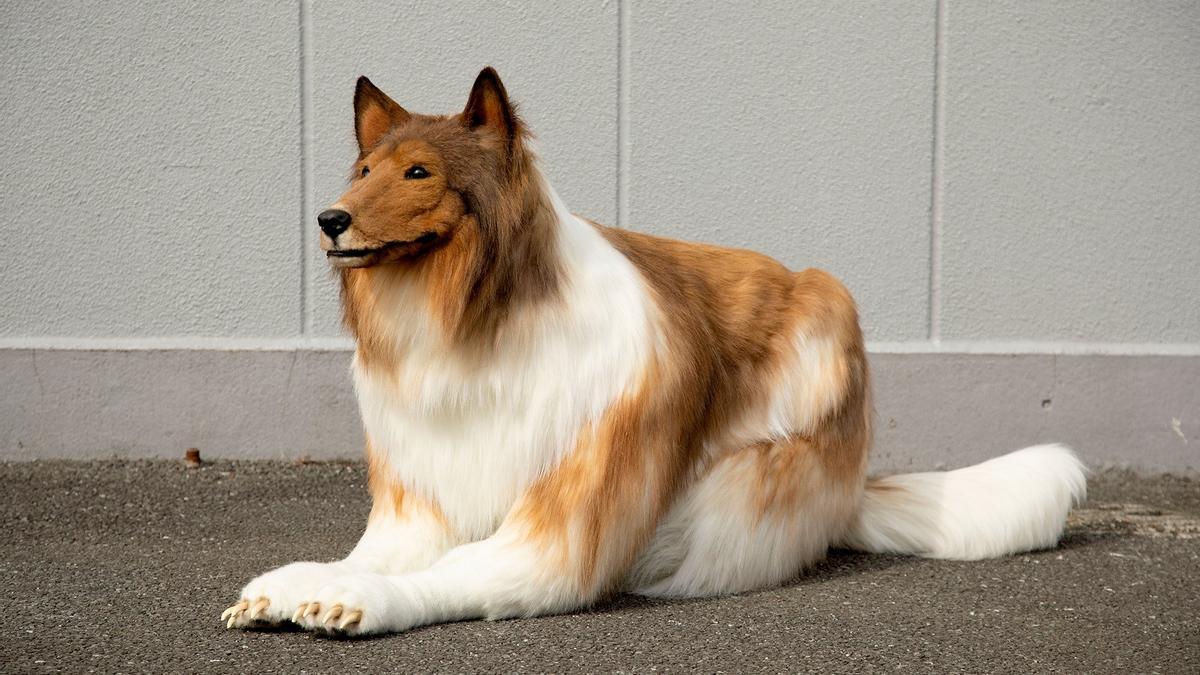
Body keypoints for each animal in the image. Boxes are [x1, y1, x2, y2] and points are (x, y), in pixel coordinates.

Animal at [223, 66, 1089, 629]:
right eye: (364, 167)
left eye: (417, 172)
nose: (330, 219)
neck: (477, 322)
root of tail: (850, 493)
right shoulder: (424, 502)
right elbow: (369, 555)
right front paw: (292, 584)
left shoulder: (558, 530)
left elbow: (450, 574)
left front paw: (354, 602)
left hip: (812, 339)